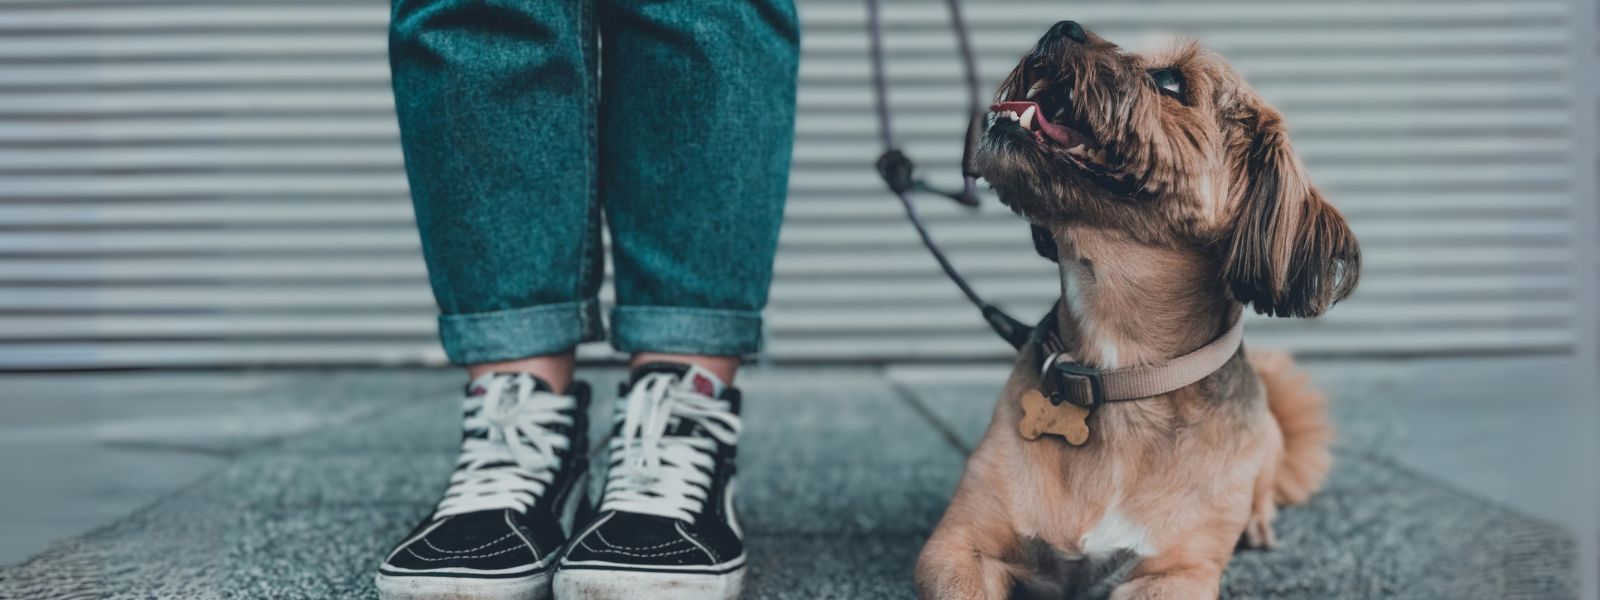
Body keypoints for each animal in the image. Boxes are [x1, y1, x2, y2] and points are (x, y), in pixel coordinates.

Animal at [921, 21, 1356, 598]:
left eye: (1169, 81)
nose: (1060, 27)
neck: (1117, 373)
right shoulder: (954, 547)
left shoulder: (1177, 574)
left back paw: (1257, 521)